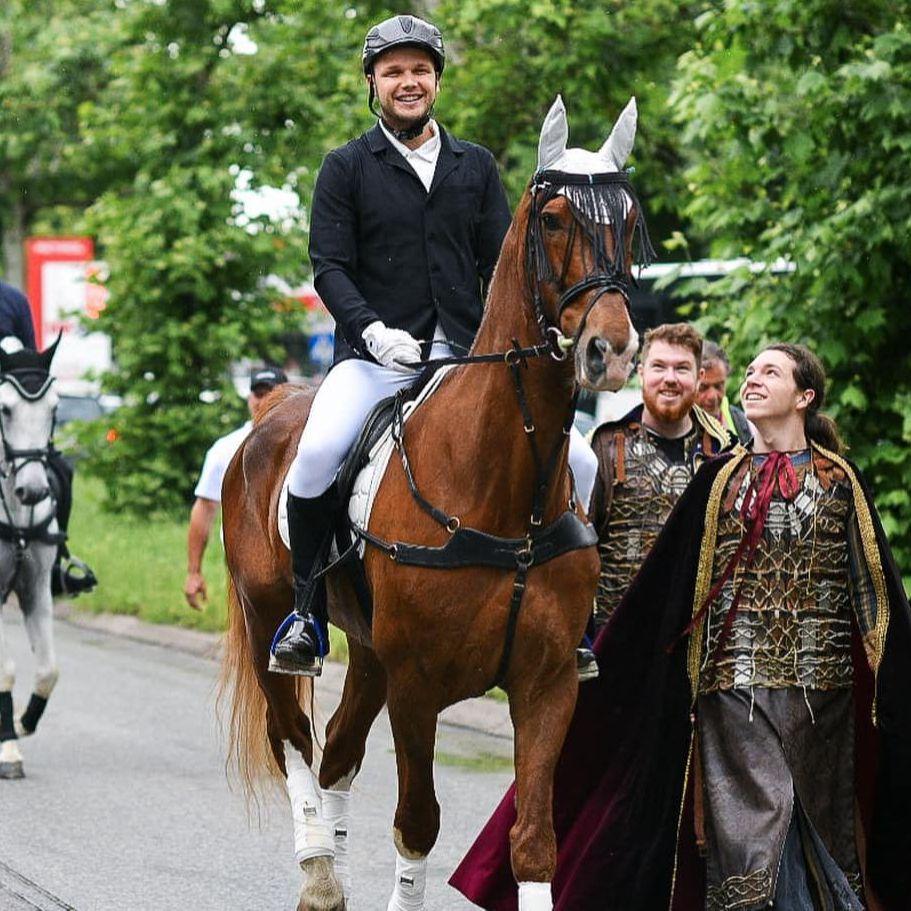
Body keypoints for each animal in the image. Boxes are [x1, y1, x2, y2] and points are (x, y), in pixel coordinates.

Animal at [218, 96, 652, 908]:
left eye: (630, 218)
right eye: (552, 220)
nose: (610, 351)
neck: (503, 490)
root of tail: (270, 416)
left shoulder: (547, 684)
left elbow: (534, 841)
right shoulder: (417, 688)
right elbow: (417, 821)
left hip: (369, 654)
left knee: (338, 753)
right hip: (271, 620)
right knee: (293, 740)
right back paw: (318, 870)